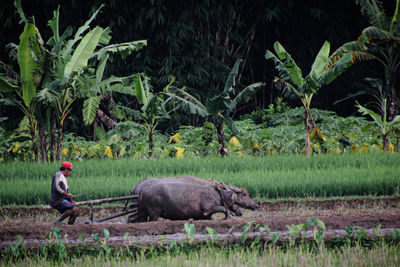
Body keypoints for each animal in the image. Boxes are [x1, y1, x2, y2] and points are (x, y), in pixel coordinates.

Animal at [127, 177, 260, 223]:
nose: (256, 206)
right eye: (244, 194)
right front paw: (230, 218)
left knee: (131, 218)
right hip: (153, 214)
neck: (217, 192)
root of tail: (142, 189)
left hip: (141, 212)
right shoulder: (208, 208)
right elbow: (224, 209)